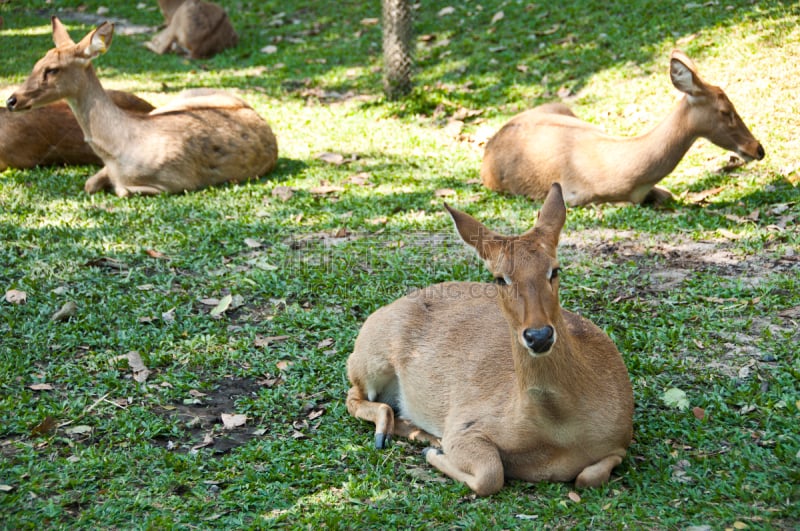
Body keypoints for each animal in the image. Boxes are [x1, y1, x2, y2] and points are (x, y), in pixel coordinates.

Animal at [346, 184, 636, 498]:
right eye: (500, 278)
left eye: (555, 269)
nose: (538, 336)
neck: (557, 432)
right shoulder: (465, 425)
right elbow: (491, 474)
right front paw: (435, 454)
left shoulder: (619, 440)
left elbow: (589, 476)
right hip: (371, 360)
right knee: (355, 397)